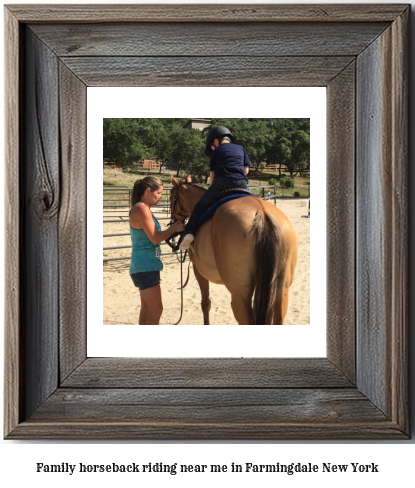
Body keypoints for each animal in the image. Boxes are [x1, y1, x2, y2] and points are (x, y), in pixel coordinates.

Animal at [171, 175, 298, 324]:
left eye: (172, 197)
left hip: (239, 294)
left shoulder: (198, 271)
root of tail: (262, 214)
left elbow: (205, 303)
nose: (174, 220)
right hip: (281, 290)